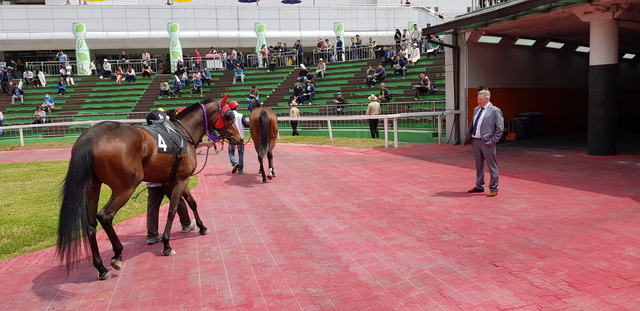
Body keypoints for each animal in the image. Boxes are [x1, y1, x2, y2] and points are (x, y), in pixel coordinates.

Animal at [55, 98, 242, 280]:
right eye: (228, 116)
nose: (239, 138)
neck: (183, 132)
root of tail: (91, 136)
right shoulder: (181, 179)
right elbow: (173, 210)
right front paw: (167, 244)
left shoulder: (175, 181)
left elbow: (191, 202)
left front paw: (202, 227)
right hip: (125, 188)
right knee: (105, 216)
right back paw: (117, 254)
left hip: (93, 187)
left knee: (91, 223)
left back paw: (101, 267)